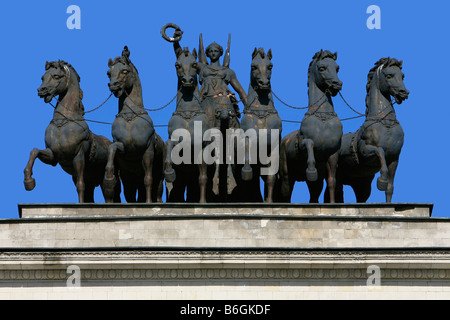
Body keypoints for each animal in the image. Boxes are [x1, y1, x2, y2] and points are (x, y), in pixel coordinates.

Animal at [23, 60, 120, 202]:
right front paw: (29, 181)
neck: (62, 125)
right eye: (43, 77)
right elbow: (34, 151)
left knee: (110, 194)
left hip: (107, 178)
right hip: (92, 179)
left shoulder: (78, 156)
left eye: (56, 76)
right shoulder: (52, 156)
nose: (41, 90)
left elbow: (80, 185)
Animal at [103, 45, 164, 202]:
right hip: (129, 178)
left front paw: (148, 202)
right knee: (130, 193)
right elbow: (112, 148)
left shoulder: (148, 150)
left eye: (125, 71)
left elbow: (148, 179)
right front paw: (109, 179)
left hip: (158, 176)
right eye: (108, 73)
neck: (130, 118)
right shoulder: (123, 148)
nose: (113, 86)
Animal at [280, 50, 342, 202]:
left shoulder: (333, 153)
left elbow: (332, 181)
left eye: (337, 68)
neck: (323, 119)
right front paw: (311, 171)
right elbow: (309, 144)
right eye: (322, 68)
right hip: (286, 174)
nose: (337, 84)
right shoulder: (303, 143)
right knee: (286, 191)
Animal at [328, 57, 410, 202]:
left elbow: (390, 187)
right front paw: (382, 181)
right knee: (332, 183)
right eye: (389, 75)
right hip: (333, 164)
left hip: (361, 183)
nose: (403, 93)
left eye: (402, 76)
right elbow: (380, 152)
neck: (385, 124)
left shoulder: (394, 159)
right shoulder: (366, 151)